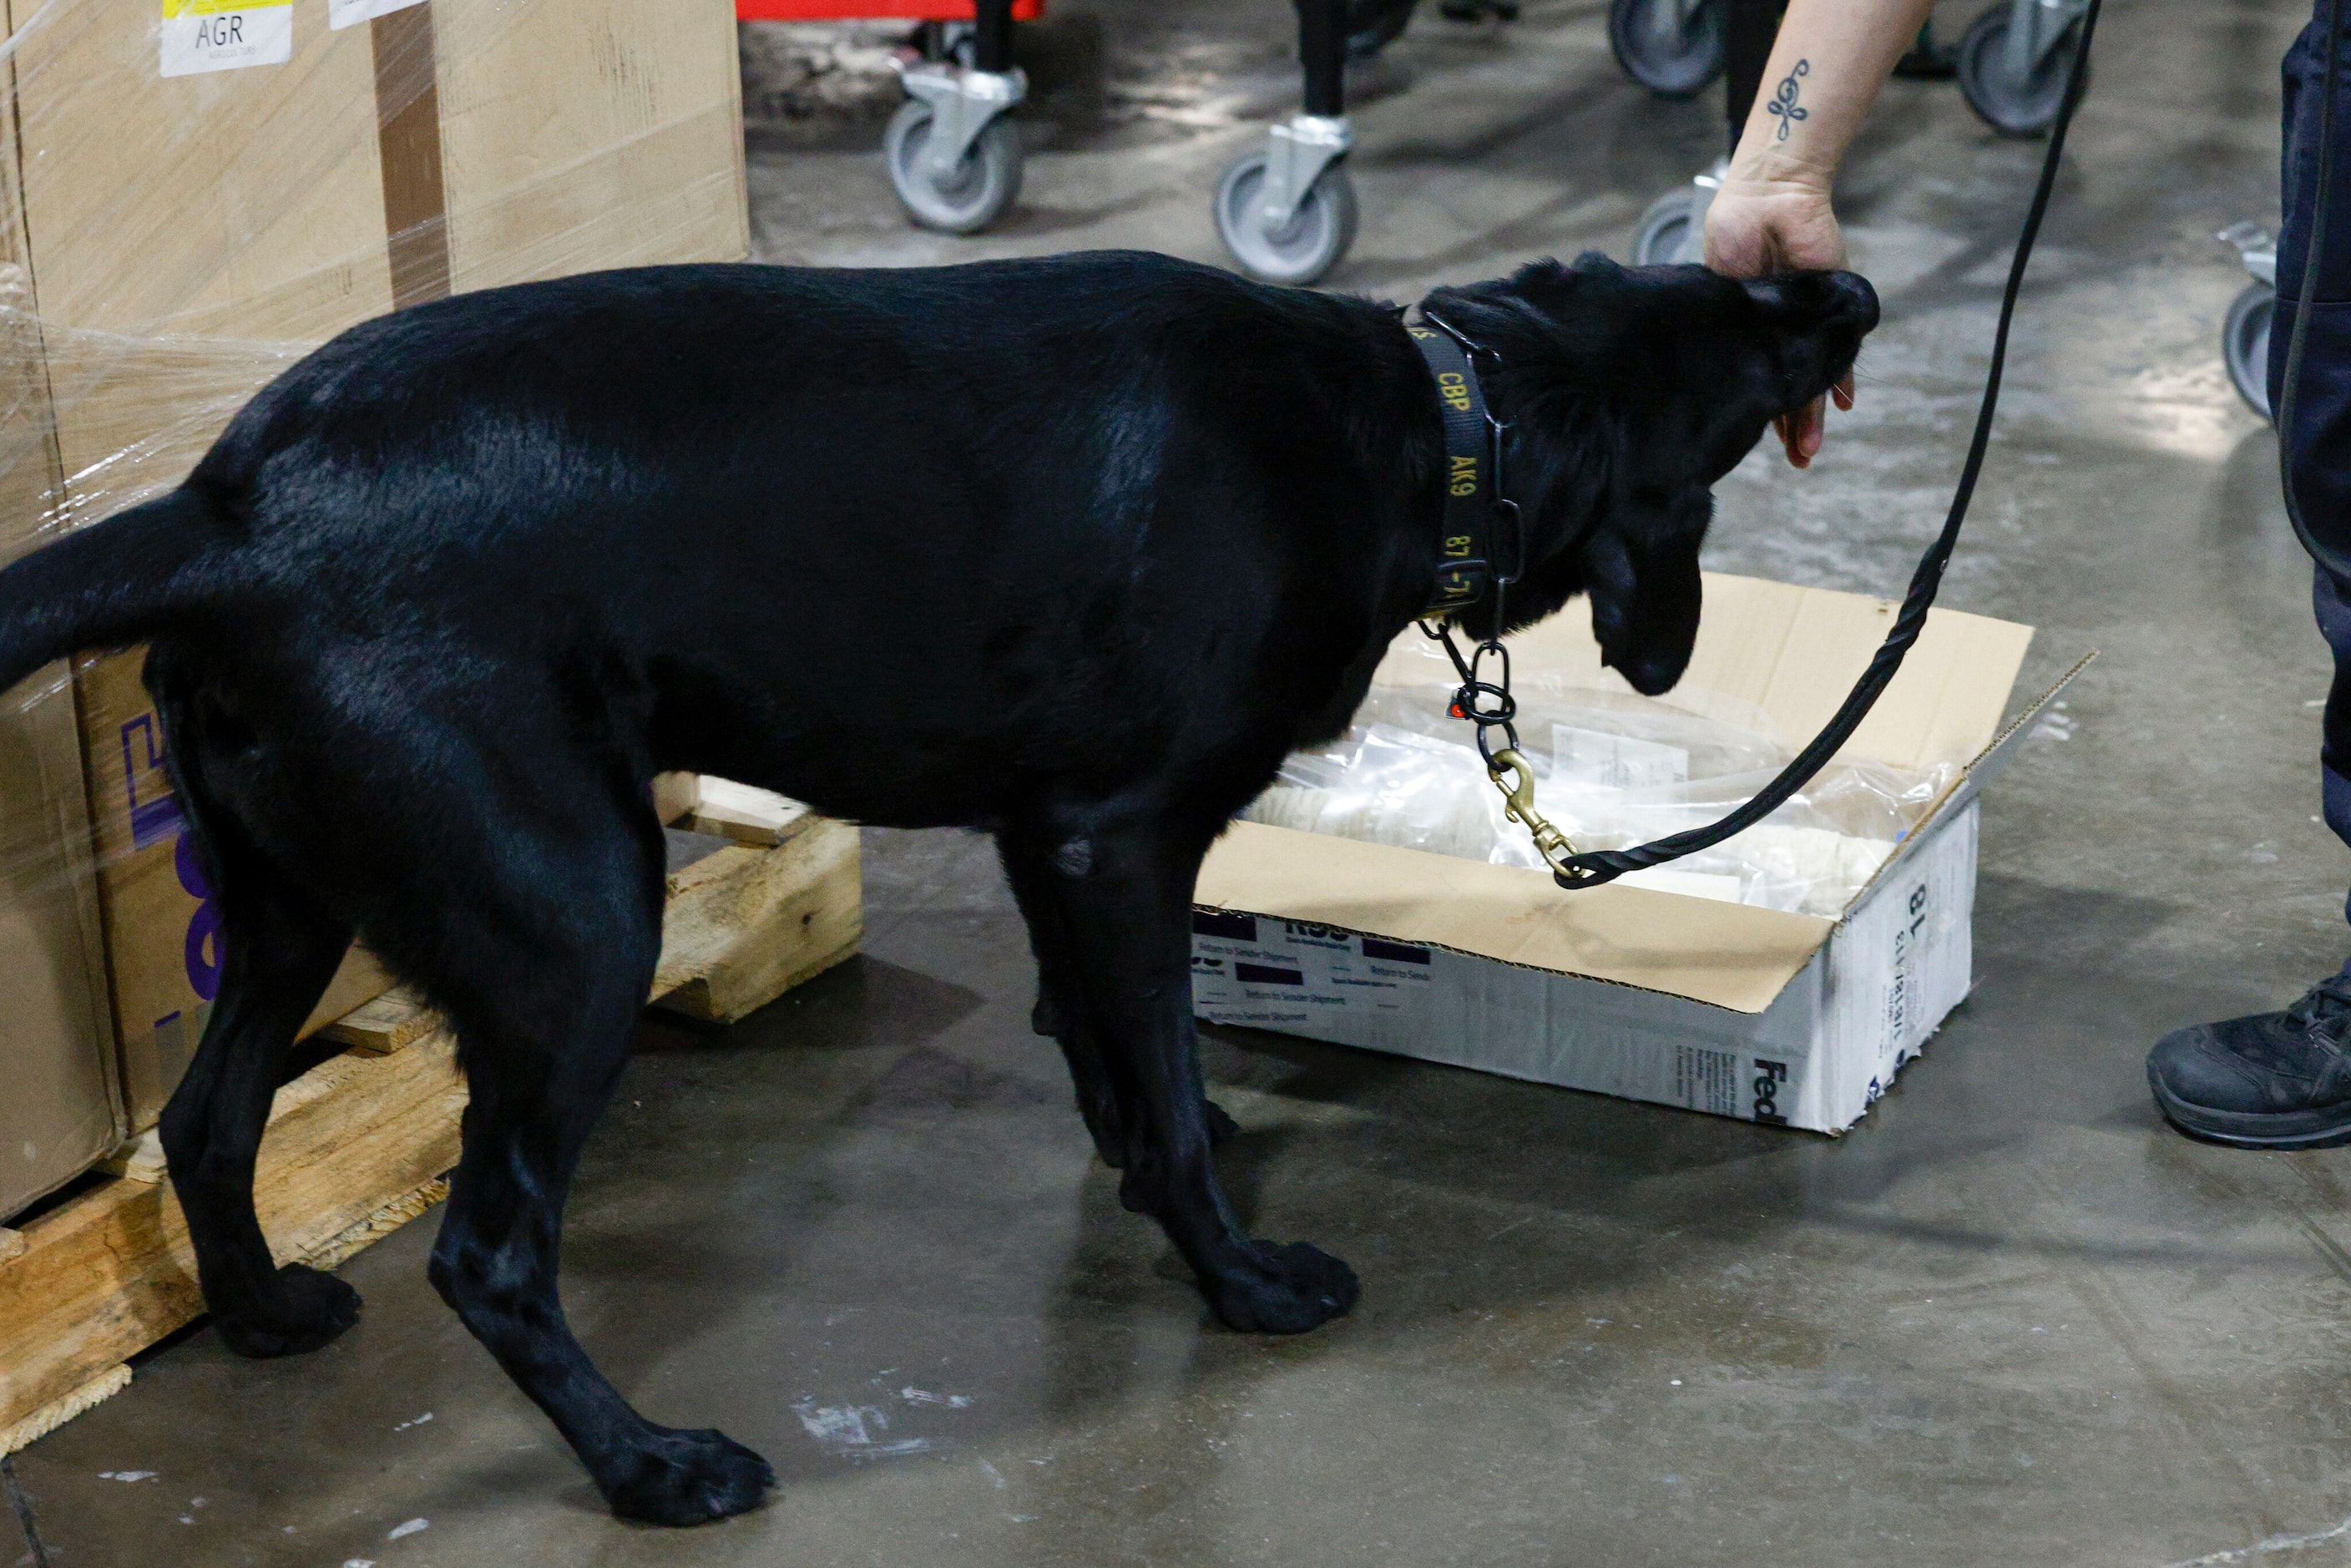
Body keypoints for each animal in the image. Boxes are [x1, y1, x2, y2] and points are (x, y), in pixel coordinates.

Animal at [0, 251, 1871, 1523]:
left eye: (1718, 274)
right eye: (1747, 340)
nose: (1843, 283)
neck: (1431, 418)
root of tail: (231, 506)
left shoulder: (1050, 839)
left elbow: (1112, 1058)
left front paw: (1150, 1170)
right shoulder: (1122, 838)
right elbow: (1164, 1082)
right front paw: (1241, 1279)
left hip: (292, 895)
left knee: (211, 1120)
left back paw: (261, 1316)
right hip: (578, 917)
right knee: (487, 1253)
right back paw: (651, 1467)